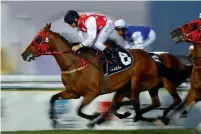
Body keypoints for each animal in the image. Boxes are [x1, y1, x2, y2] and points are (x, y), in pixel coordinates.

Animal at [21, 23, 185, 127]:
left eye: (38, 39)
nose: (24, 54)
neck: (74, 64)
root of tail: (151, 58)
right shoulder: (72, 92)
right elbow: (53, 98)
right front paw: (53, 121)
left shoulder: (92, 93)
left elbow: (79, 110)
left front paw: (93, 117)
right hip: (128, 87)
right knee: (135, 103)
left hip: (138, 80)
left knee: (136, 101)